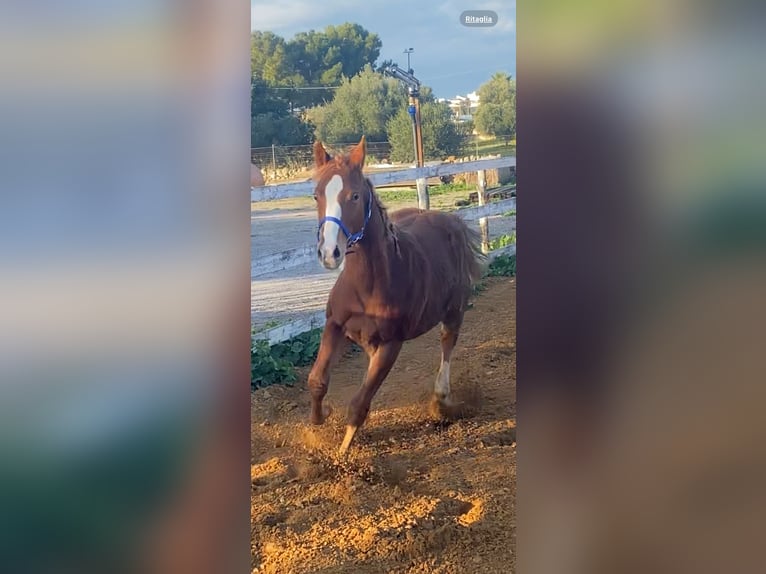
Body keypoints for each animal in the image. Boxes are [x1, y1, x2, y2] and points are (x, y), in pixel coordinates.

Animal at [307, 136, 486, 455]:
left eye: (354, 196)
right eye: (316, 196)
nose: (329, 254)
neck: (367, 286)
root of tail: (451, 221)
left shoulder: (391, 344)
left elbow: (359, 404)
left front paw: (341, 458)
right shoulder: (335, 325)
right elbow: (317, 381)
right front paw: (321, 417)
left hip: (455, 310)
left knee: (448, 342)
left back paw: (442, 398)